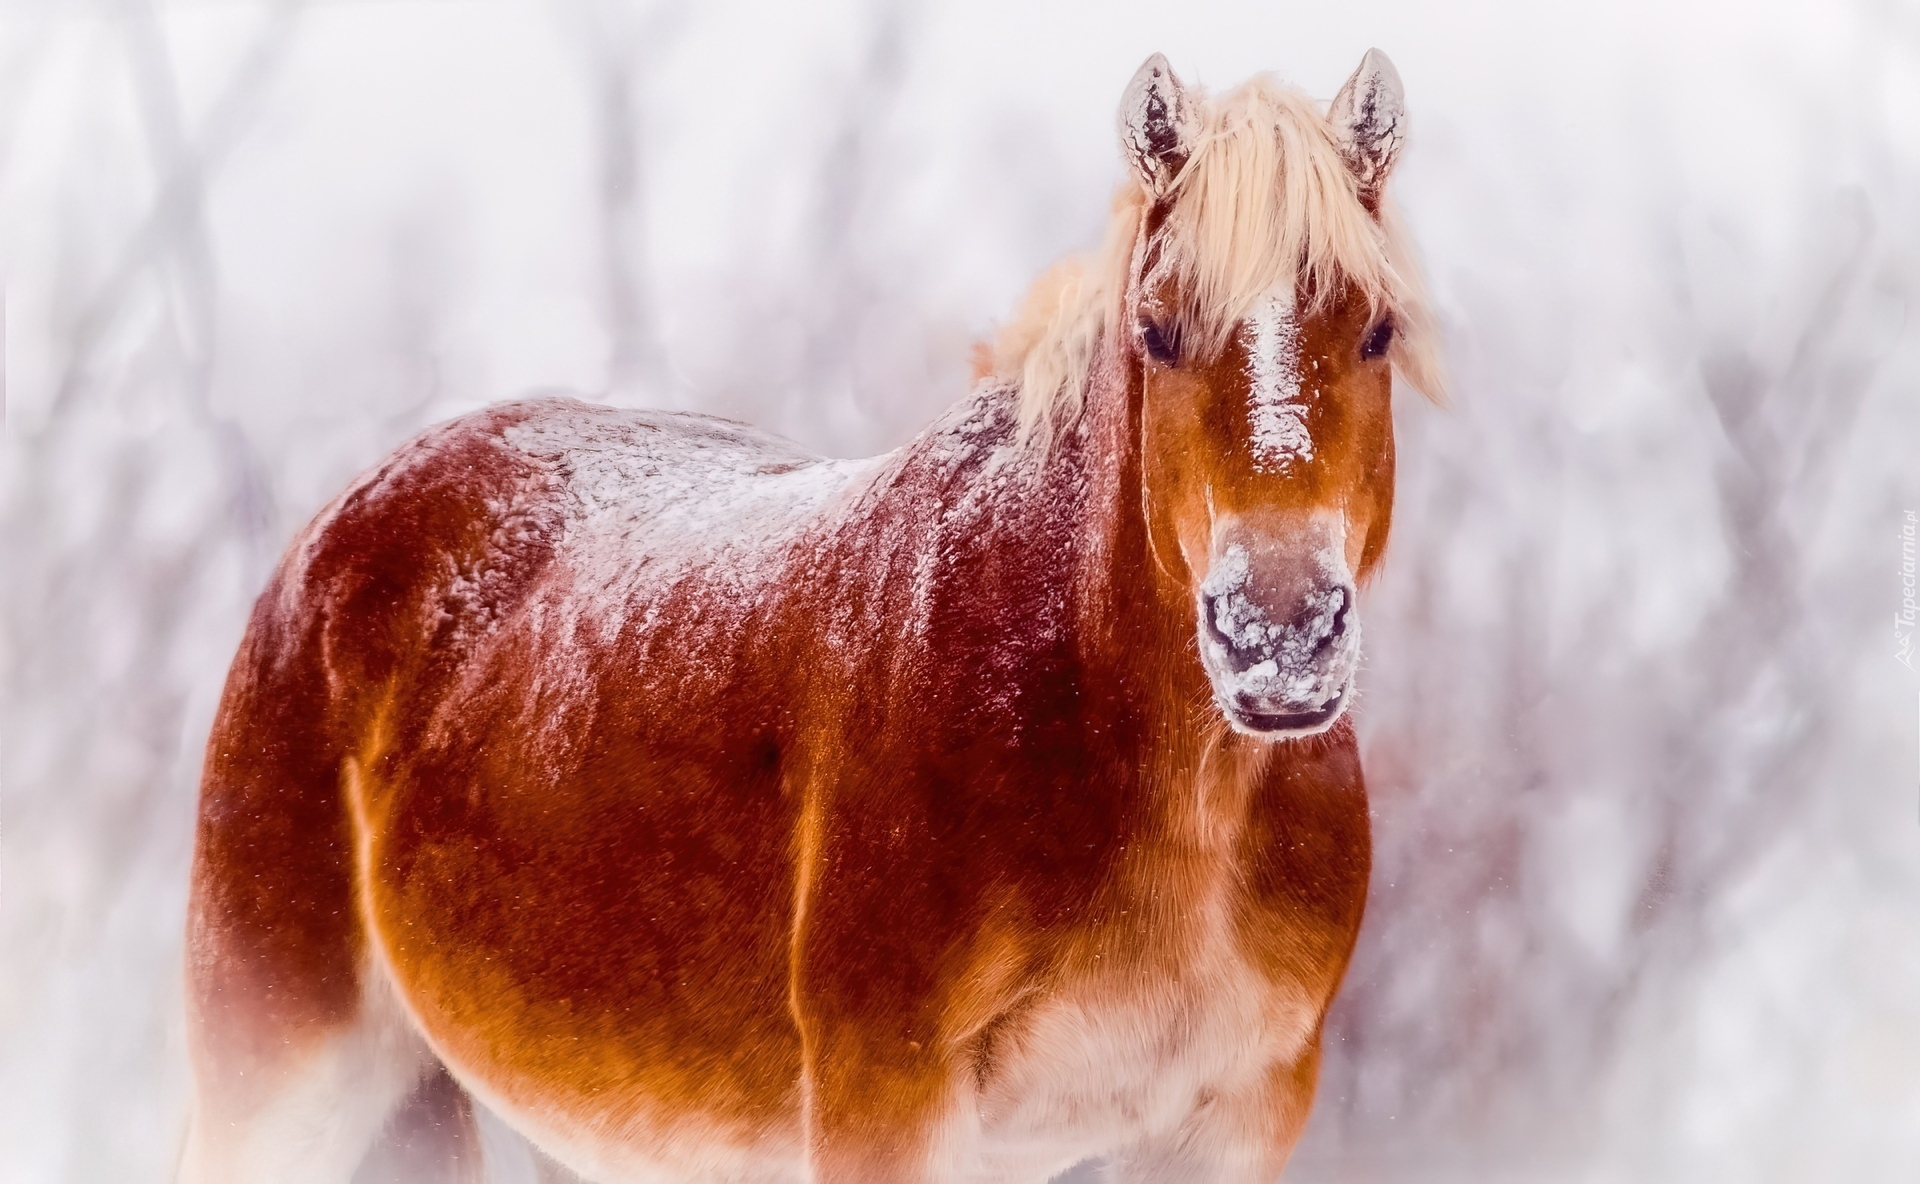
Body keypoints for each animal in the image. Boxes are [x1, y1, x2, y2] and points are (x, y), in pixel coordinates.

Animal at [183, 48, 1443, 1182]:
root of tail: (335, 531)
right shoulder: (887, 1091)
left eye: (1375, 328)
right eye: (1157, 329)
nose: (1278, 633)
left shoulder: (1235, 1114)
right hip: (283, 1074)